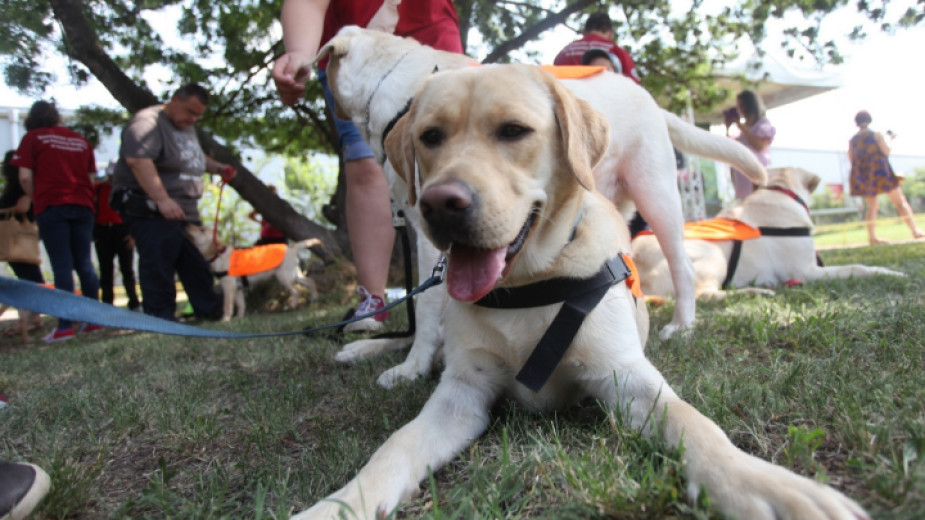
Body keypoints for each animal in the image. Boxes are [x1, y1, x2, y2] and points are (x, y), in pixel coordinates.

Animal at [184, 224, 322, 320]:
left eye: (201, 230)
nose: (186, 224)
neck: (219, 254)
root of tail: (292, 247)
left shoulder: (228, 286)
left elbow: (227, 305)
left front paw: (225, 320)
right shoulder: (238, 288)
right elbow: (241, 304)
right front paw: (239, 318)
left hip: (284, 276)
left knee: (296, 290)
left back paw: (292, 305)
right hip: (293, 273)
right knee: (310, 281)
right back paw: (314, 297)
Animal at [288, 64, 868, 520]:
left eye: (513, 131)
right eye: (430, 136)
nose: (438, 205)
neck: (528, 284)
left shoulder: (627, 378)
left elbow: (698, 425)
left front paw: (762, 485)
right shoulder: (462, 391)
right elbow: (394, 447)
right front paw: (337, 505)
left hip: (659, 198)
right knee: (420, 340)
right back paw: (373, 351)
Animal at [632, 169, 904, 300]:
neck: (777, 191)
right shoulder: (805, 270)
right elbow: (857, 266)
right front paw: (889, 272)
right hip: (711, 255)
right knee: (705, 294)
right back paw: (755, 292)